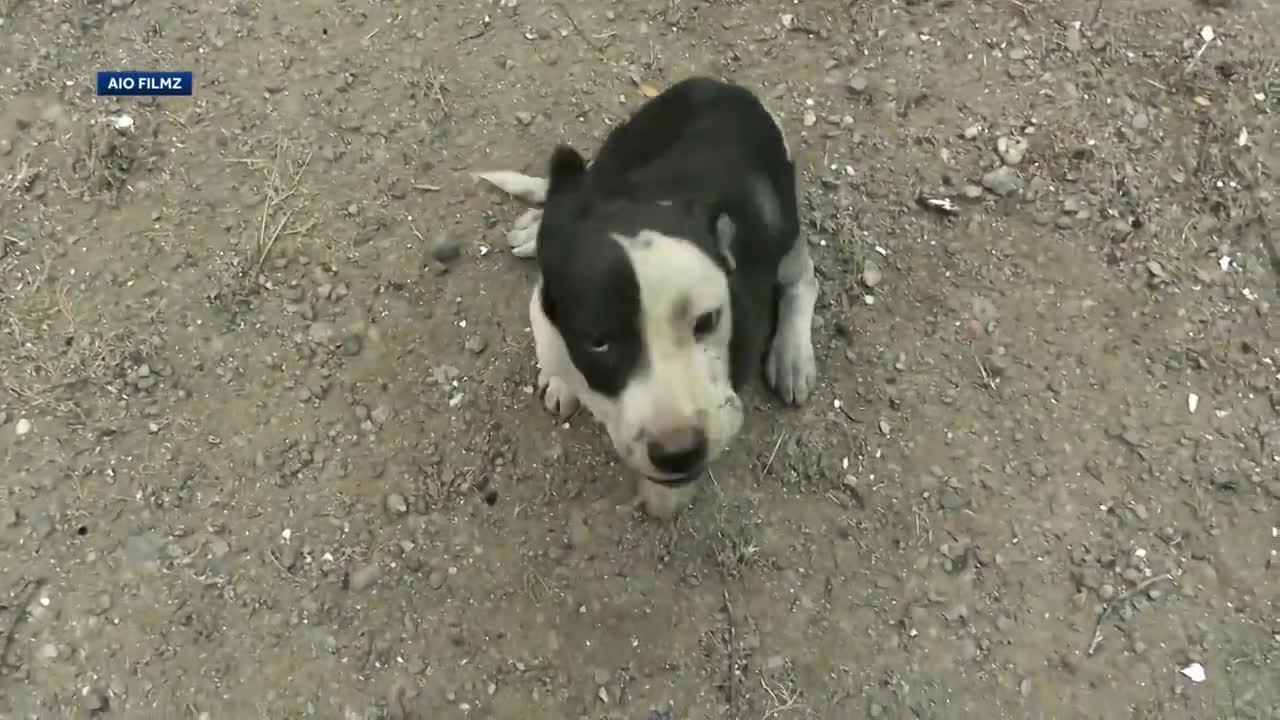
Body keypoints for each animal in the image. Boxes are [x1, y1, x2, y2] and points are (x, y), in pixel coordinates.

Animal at [478, 77, 819, 515]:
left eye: (707, 321)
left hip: (783, 225)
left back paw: (792, 356)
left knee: (804, 277)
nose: (680, 452)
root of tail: (725, 86)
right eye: (598, 341)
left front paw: (664, 496)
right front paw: (561, 382)